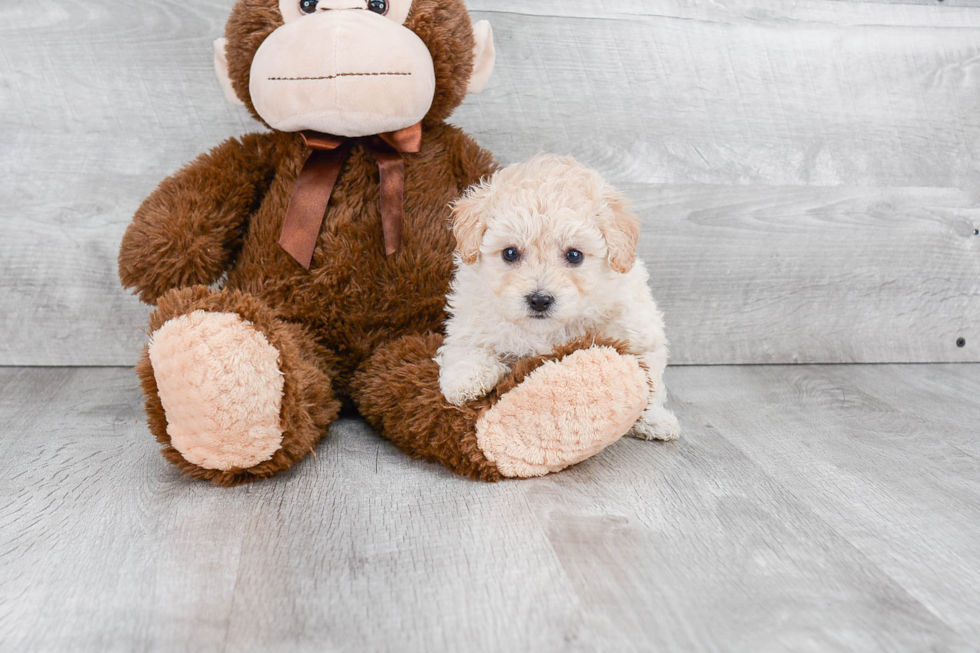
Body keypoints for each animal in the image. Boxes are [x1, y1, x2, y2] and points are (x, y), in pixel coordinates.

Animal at [438, 153, 676, 440]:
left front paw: (654, 418)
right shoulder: (470, 320)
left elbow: (647, 377)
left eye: (574, 255)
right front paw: (465, 383)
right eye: (510, 253)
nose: (540, 300)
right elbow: (467, 349)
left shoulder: (636, 329)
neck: (546, 331)